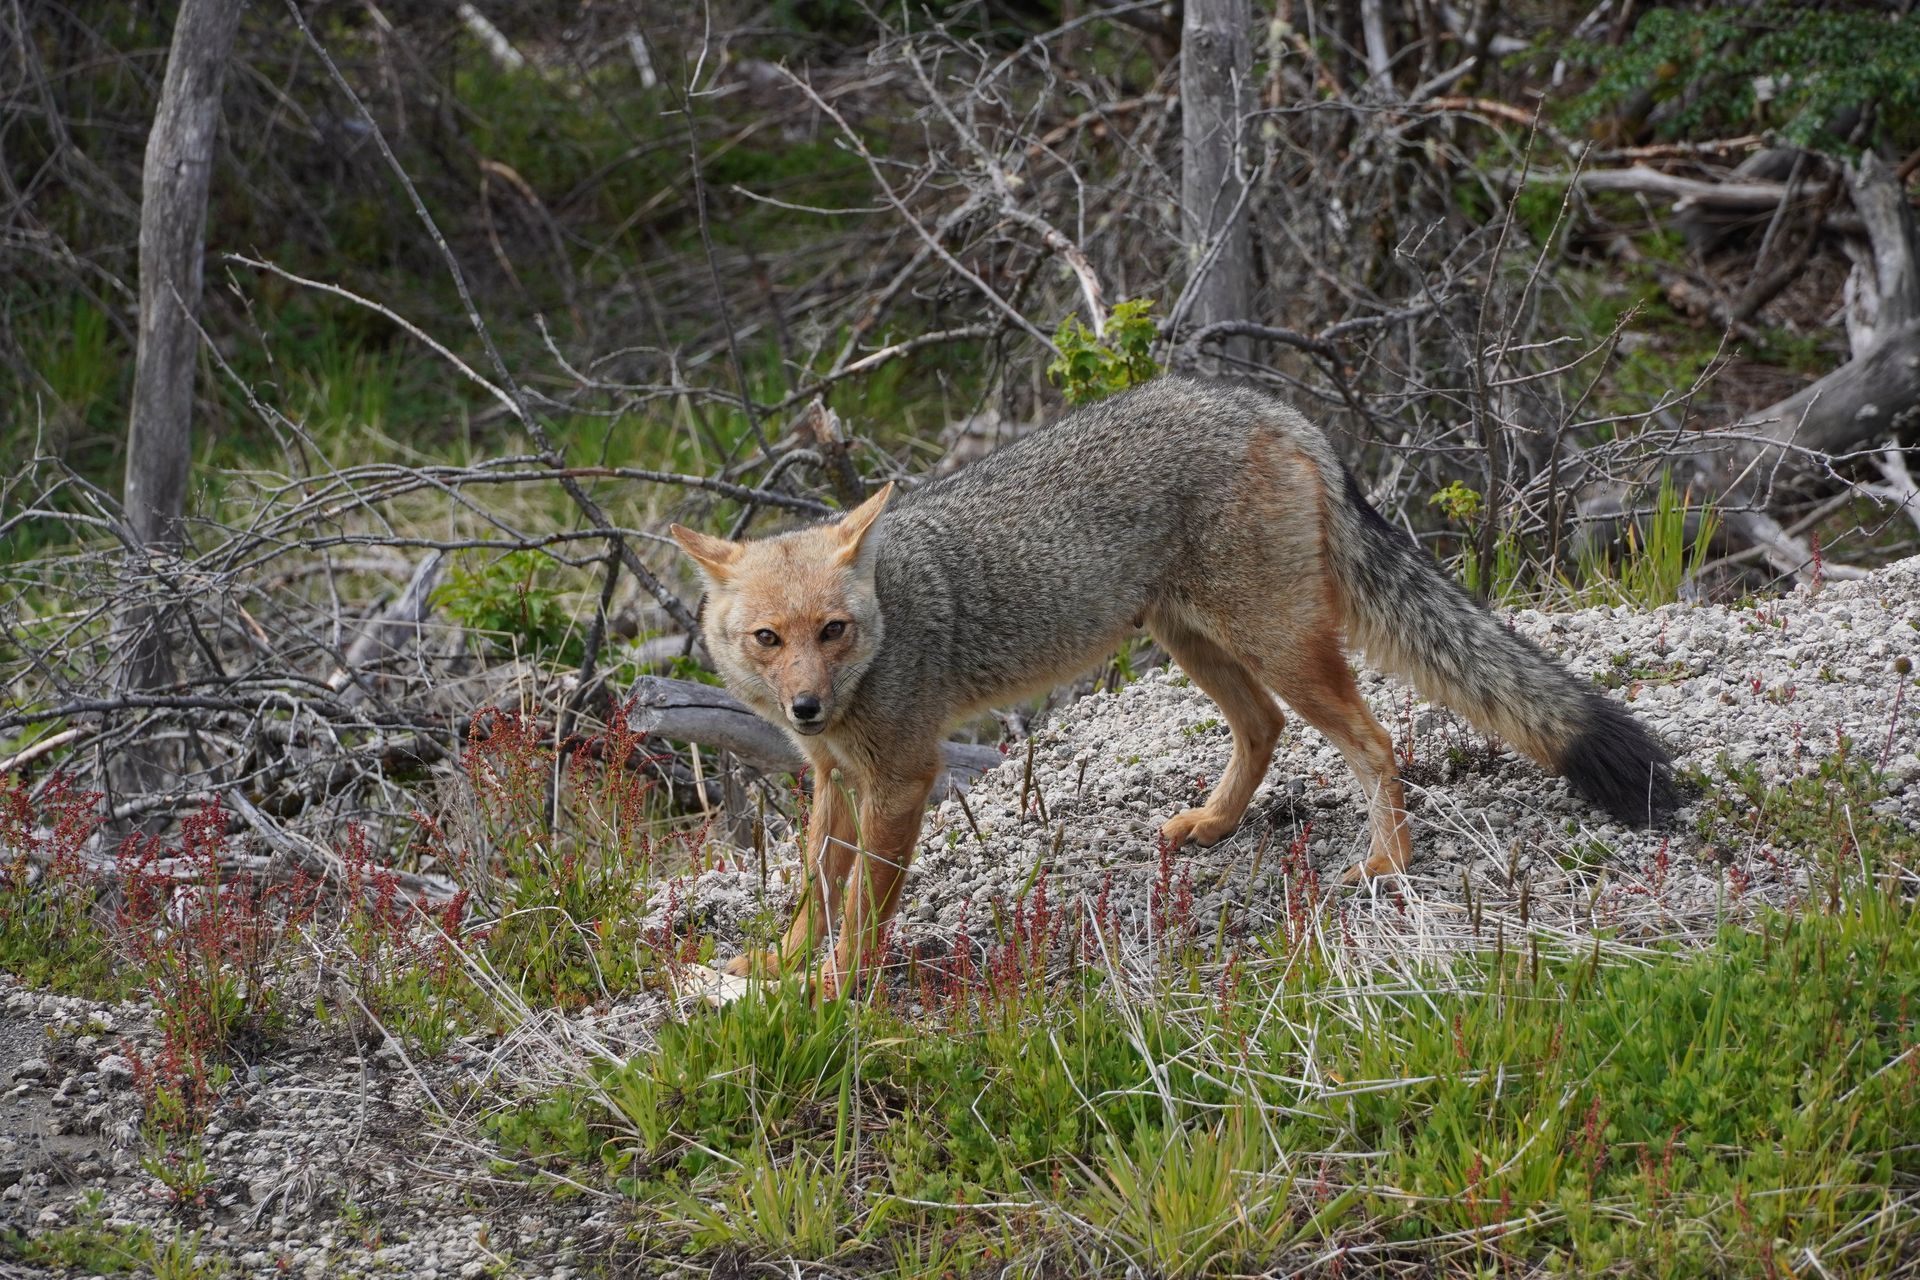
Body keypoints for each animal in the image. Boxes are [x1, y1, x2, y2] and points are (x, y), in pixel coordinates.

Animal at [670, 376, 1674, 993]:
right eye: (768, 640)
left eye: (833, 632)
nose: (805, 706)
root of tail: (1269, 405)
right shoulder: (835, 778)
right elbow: (814, 890)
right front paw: (777, 965)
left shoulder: (902, 778)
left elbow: (860, 909)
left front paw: (833, 986)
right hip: (1197, 643)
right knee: (1265, 727)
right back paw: (1216, 825)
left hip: (1276, 646)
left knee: (1376, 740)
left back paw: (1388, 861)